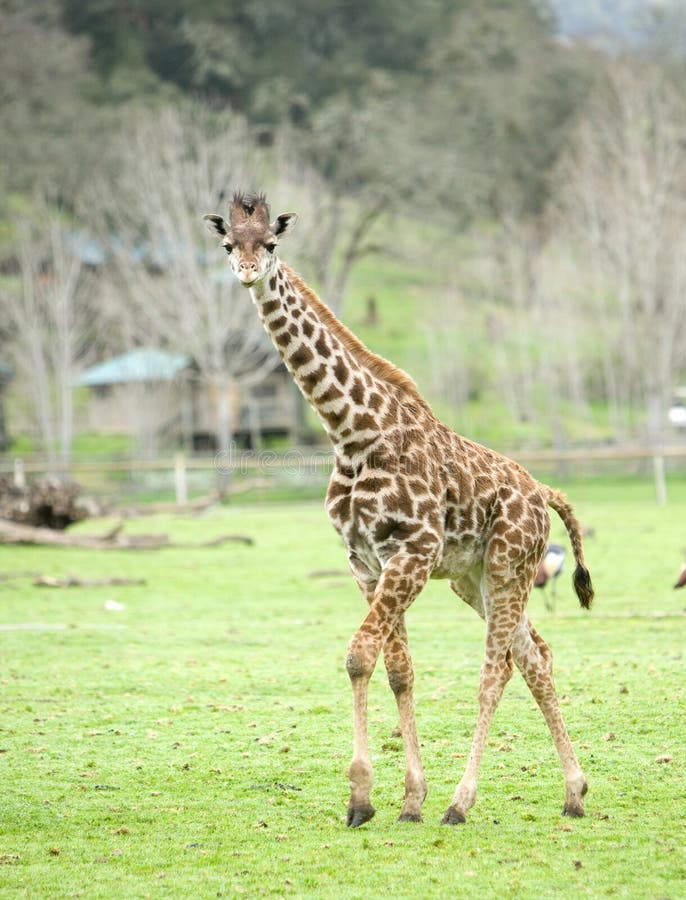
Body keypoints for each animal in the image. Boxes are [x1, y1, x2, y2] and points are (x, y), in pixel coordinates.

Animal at [204, 193, 596, 828]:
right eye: (227, 244)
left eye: (271, 243)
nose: (247, 273)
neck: (352, 432)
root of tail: (543, 493)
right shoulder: (366, 562)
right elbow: (396, 669)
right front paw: (410, 797)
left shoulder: (411, 553)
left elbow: (359, 655)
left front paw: (362, 797)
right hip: (475, 579)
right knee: (536, 656)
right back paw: (574, 791)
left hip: (509, 566)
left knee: (497, 671)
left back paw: (463, 802)